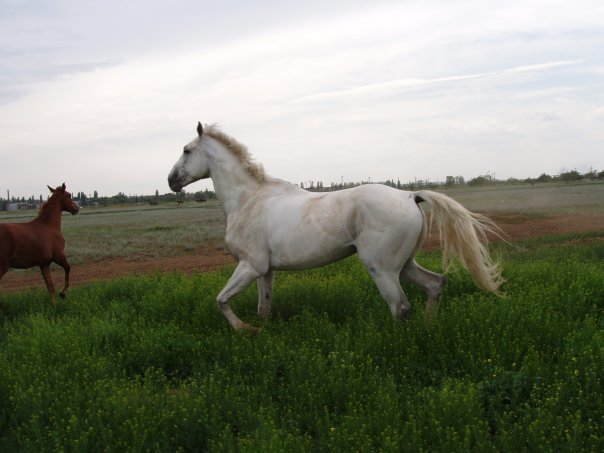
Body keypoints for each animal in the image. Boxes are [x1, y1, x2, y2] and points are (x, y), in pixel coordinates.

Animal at [168, 122, 502, 332]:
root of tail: (410, 196)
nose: (171, 181)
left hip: (383, 269)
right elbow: (264, 308)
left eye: (186, 150)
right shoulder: (265, 270)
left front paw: (245, 330)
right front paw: (260, 330)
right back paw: (428, 330)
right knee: (435, 285)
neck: (248, 199)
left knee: (401, 307)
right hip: (405, 264)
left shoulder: (250, 266)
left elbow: (221, 300)